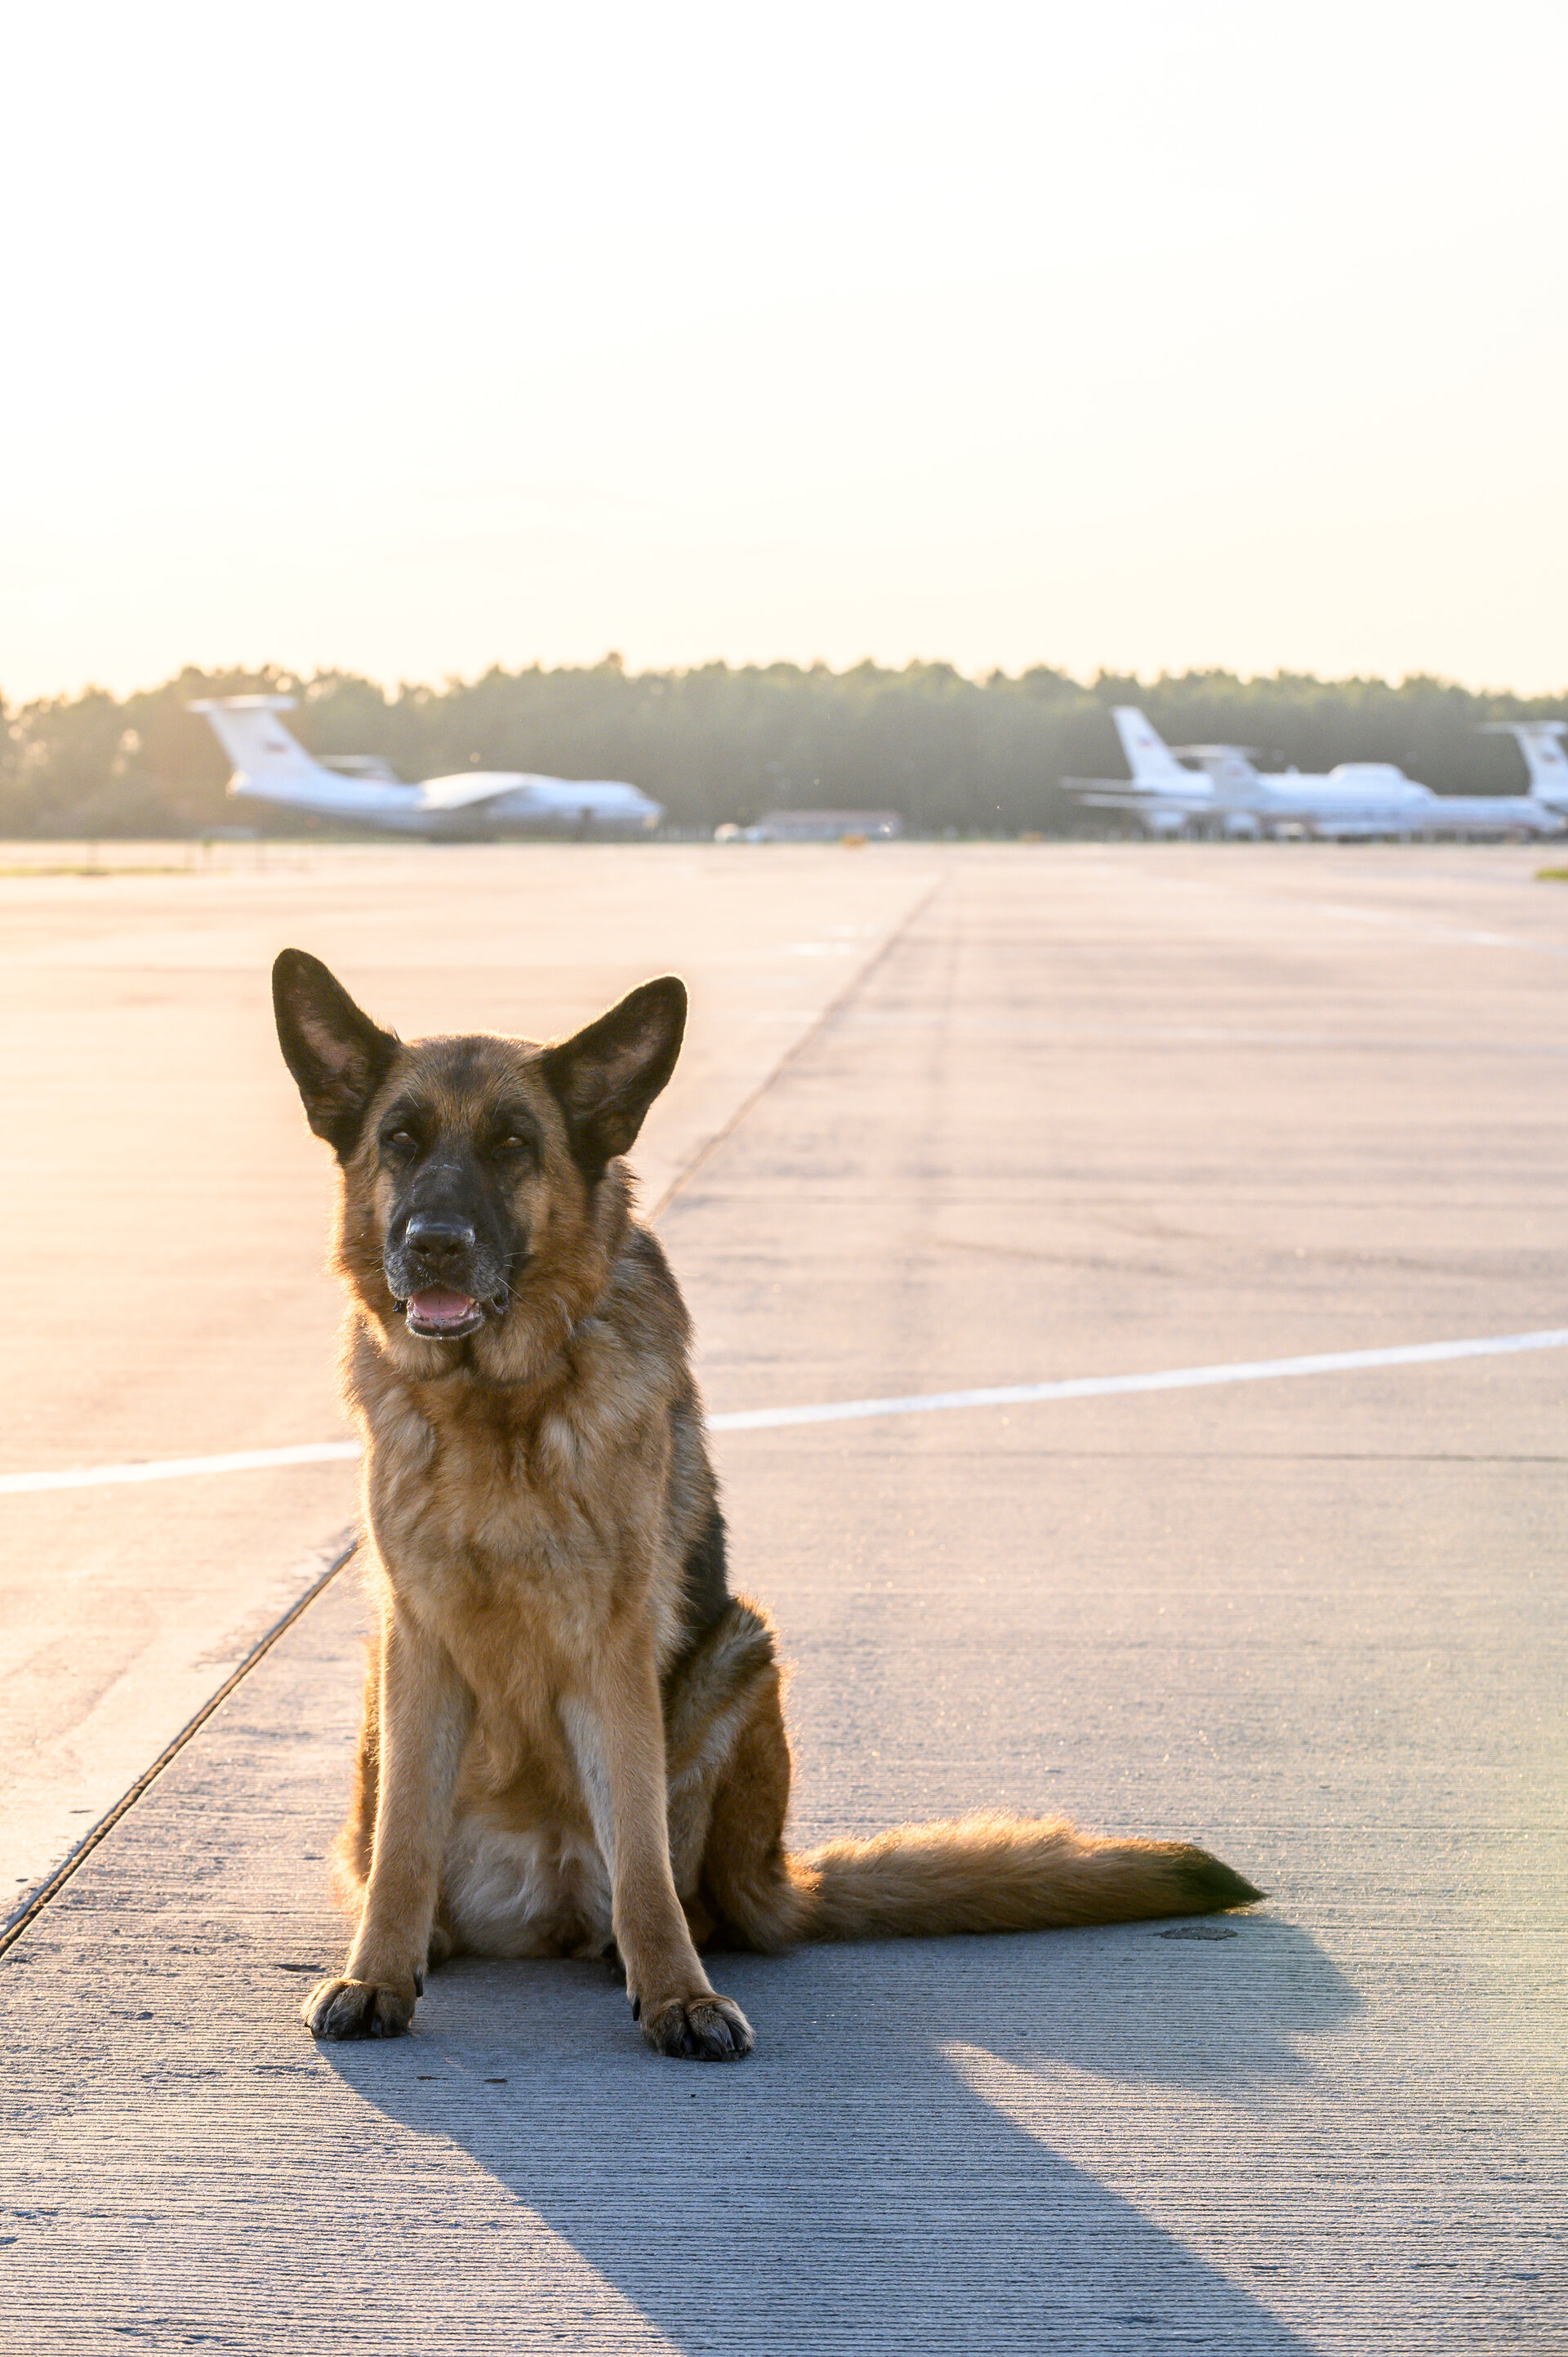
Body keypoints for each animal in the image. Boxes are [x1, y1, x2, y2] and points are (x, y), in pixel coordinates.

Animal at [278, 947, 1263, 2055]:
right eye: (400, 1142)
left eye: (512, 1145)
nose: (435, 1242)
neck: (502, 1408)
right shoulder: (417, 1639)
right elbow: (405, 1841)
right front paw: (377, 1975)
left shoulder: (614, 1651)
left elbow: (645, 1865)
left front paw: (679, 1995)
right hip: (385, 1691)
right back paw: (436, 1942)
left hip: (740, 1653)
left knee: (688, 1895)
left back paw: (647, 1950)